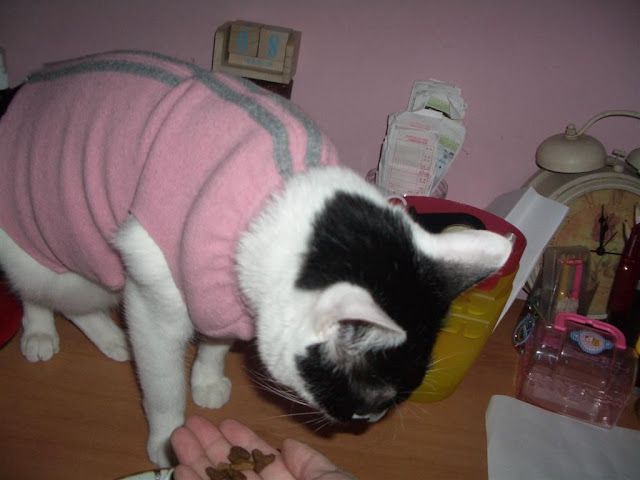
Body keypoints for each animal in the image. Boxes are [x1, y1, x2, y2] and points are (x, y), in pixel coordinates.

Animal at [0, 51, 512, 467]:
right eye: (375, 396)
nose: (370, 418)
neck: (281, 188)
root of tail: (25, 86)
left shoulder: (218, 288)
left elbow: (214, 341)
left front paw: (207, 380)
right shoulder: (154, 305)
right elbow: (163, 384)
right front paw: (169, 438)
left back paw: (110, 340)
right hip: (62, 250)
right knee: (42, 293)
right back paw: (47, 335)